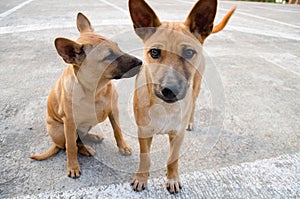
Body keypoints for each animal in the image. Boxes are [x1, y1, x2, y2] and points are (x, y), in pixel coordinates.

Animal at [29, 12, 142, 178]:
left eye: (118, 46)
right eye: (109, 56)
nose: (141, 62)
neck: (96, 90)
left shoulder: (113, 110)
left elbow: (118, 130)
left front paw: (123, 146)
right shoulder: (69, 123)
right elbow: (71, 147)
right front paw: (73, 166)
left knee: (80, 139)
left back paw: (93, 138)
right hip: (60, 130)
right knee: (68, 145)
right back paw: (86, 149)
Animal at [127, 0, 236, 194]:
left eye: (189, 53)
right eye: (154, 52)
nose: (170, 90)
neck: (164, 106)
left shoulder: (178, 135)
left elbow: (173, 158)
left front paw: (172, 178)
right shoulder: (144, 133)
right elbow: (145, 157)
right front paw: (141, 178)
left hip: (196, 86)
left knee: (193, 105)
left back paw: (190, 122)